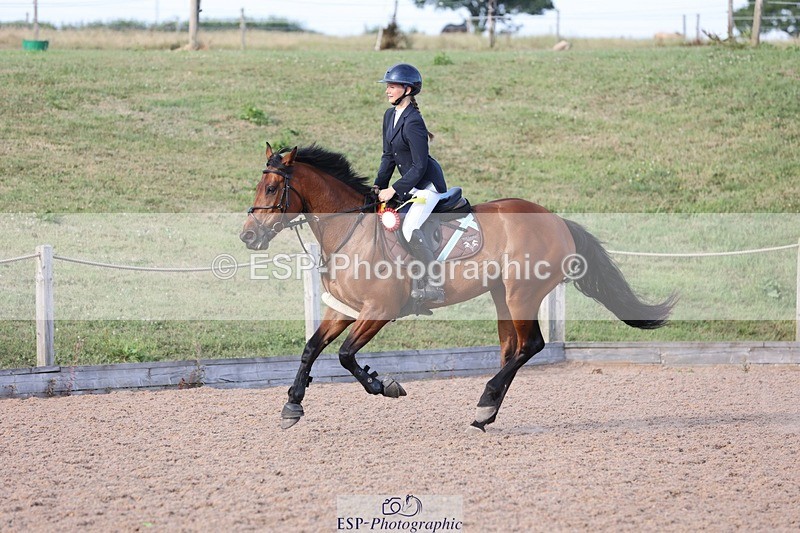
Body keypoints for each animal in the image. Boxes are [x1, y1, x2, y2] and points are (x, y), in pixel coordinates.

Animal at [240, 143, 675, 432]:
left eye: (272, 189)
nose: (248, 236)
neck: (351, 230)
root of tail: (556, 220)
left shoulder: (379, 310)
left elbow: (346, 355)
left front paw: (385, 385)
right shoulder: (343, 309)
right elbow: (311, 348)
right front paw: (292, 405)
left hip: (522, 293)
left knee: (531, 346)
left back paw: (485, 404)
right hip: (502, 294)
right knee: (512, 348)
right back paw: (487, 411)